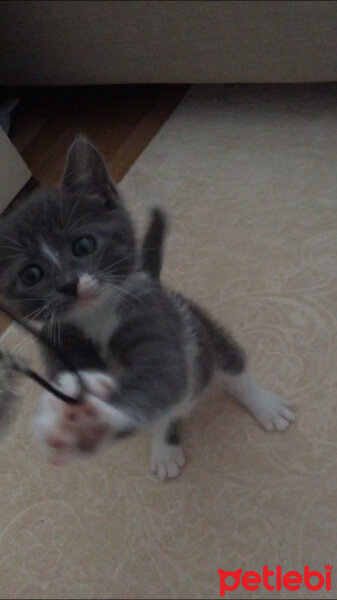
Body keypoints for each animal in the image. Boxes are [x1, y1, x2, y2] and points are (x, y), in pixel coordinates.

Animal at [0, 138, 294, 480]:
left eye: (83, 245)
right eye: (31, 275)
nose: (69, 285)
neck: (97, 317)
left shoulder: (154, 313)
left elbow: (163, 372)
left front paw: (85, 418)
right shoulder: (59, 342)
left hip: (197, 323)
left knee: (231, 363)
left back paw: (265, 406)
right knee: (164, 413)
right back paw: (164, 448)